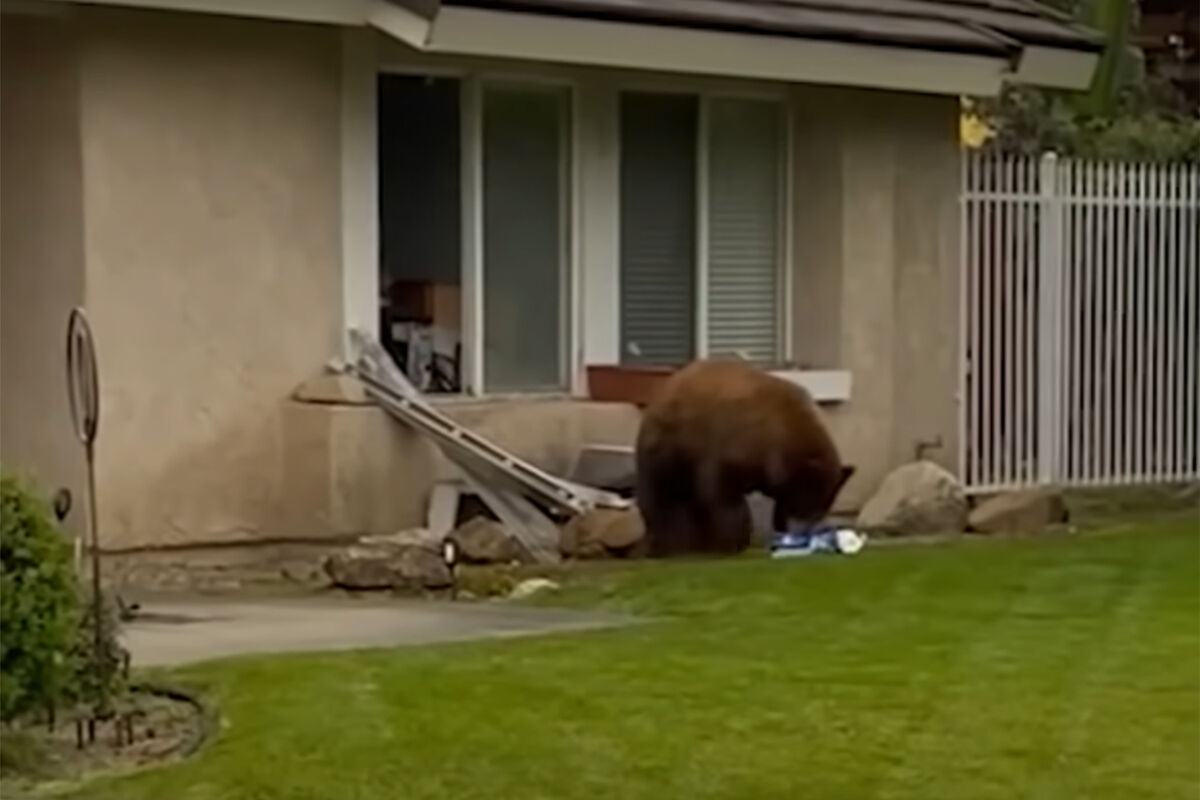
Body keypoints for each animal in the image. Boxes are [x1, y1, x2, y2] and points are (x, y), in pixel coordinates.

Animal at [638, 359, 854, 561]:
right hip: (666, 449)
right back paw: (664, 545)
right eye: (809, 502)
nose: (810, 530)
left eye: (826, 502)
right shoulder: (730, 446)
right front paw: (734, 542)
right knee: (661, 496)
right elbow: (721, 492)